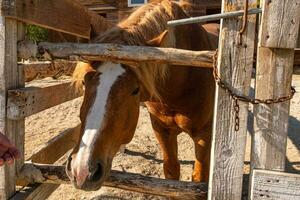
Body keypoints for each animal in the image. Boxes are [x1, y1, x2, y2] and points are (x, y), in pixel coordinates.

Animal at [67, 0, 219, 190]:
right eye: (84, 82)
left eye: (135, 89)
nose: (82, 170)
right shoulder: (162, 130)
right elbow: (171, 171)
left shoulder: (203, 136)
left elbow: (199, 178)